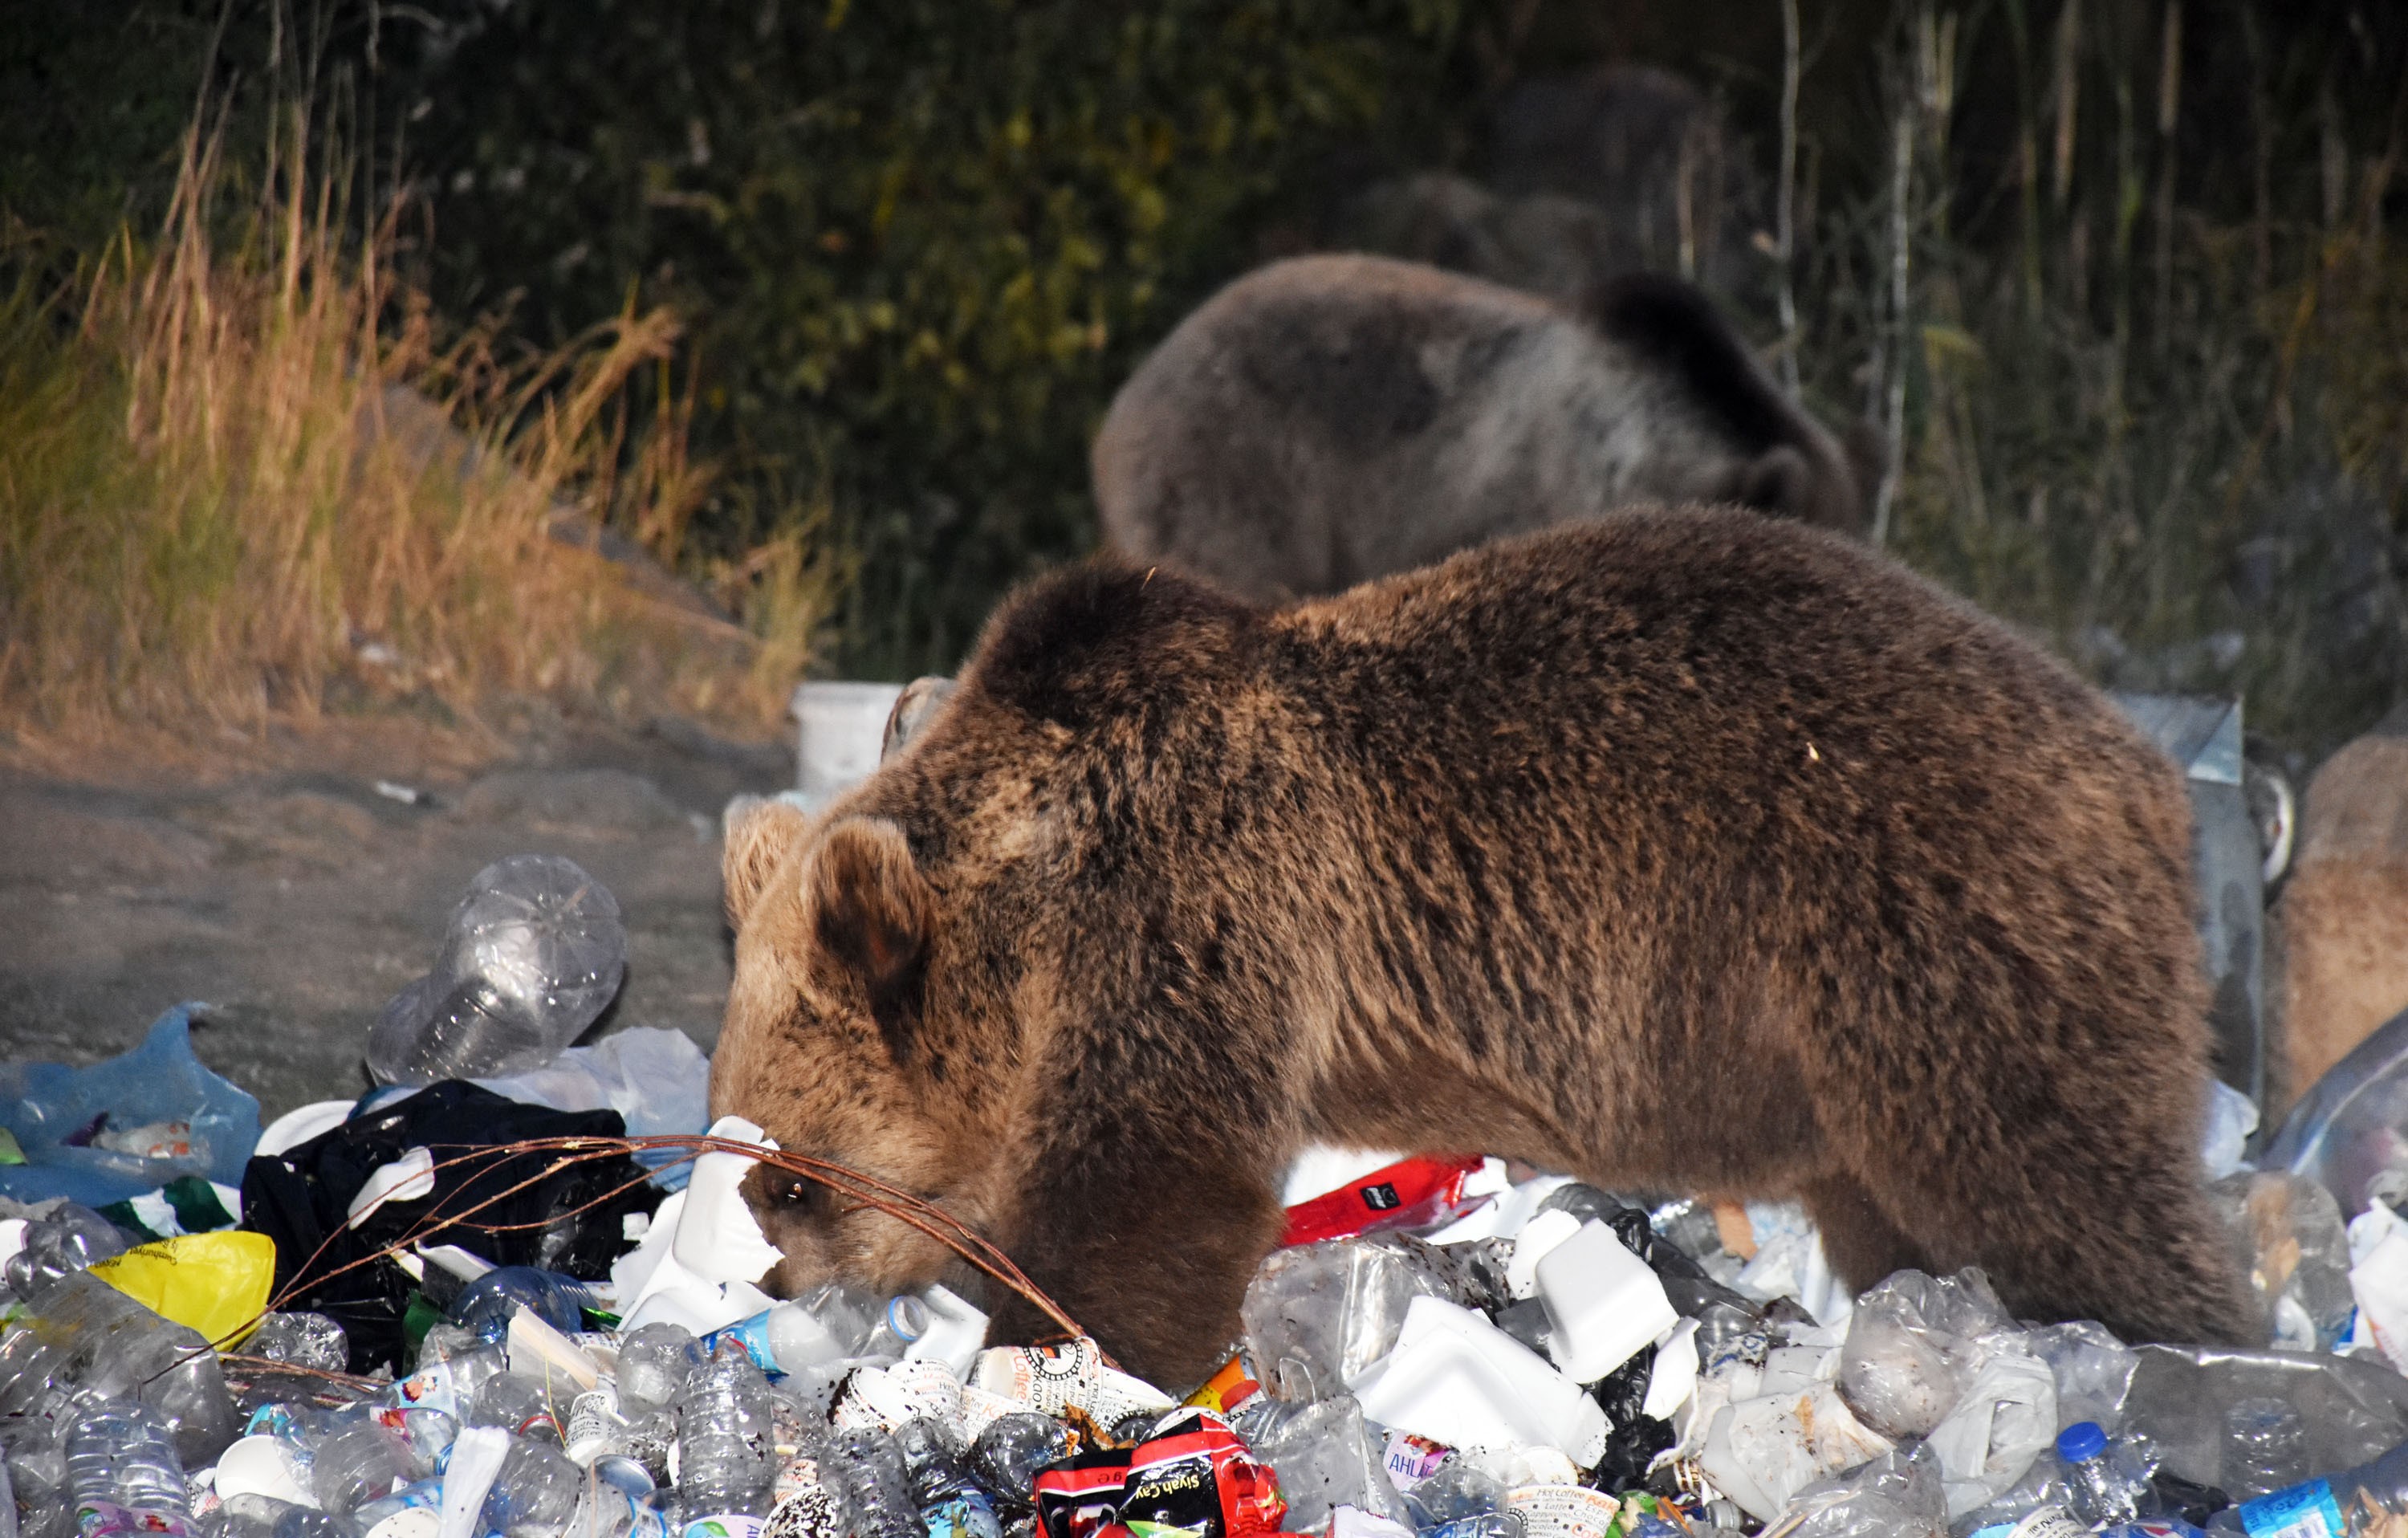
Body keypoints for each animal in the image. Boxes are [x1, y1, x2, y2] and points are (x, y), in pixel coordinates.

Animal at [708, 510, 2254, 1386]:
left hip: (1925, 929)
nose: (758, 1284)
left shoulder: (1195, 907)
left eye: (790, 1178)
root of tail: (2141, 773)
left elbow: (1148, 1189)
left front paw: (1062, 1350)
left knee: (2057, 1177)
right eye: (732, 1146)